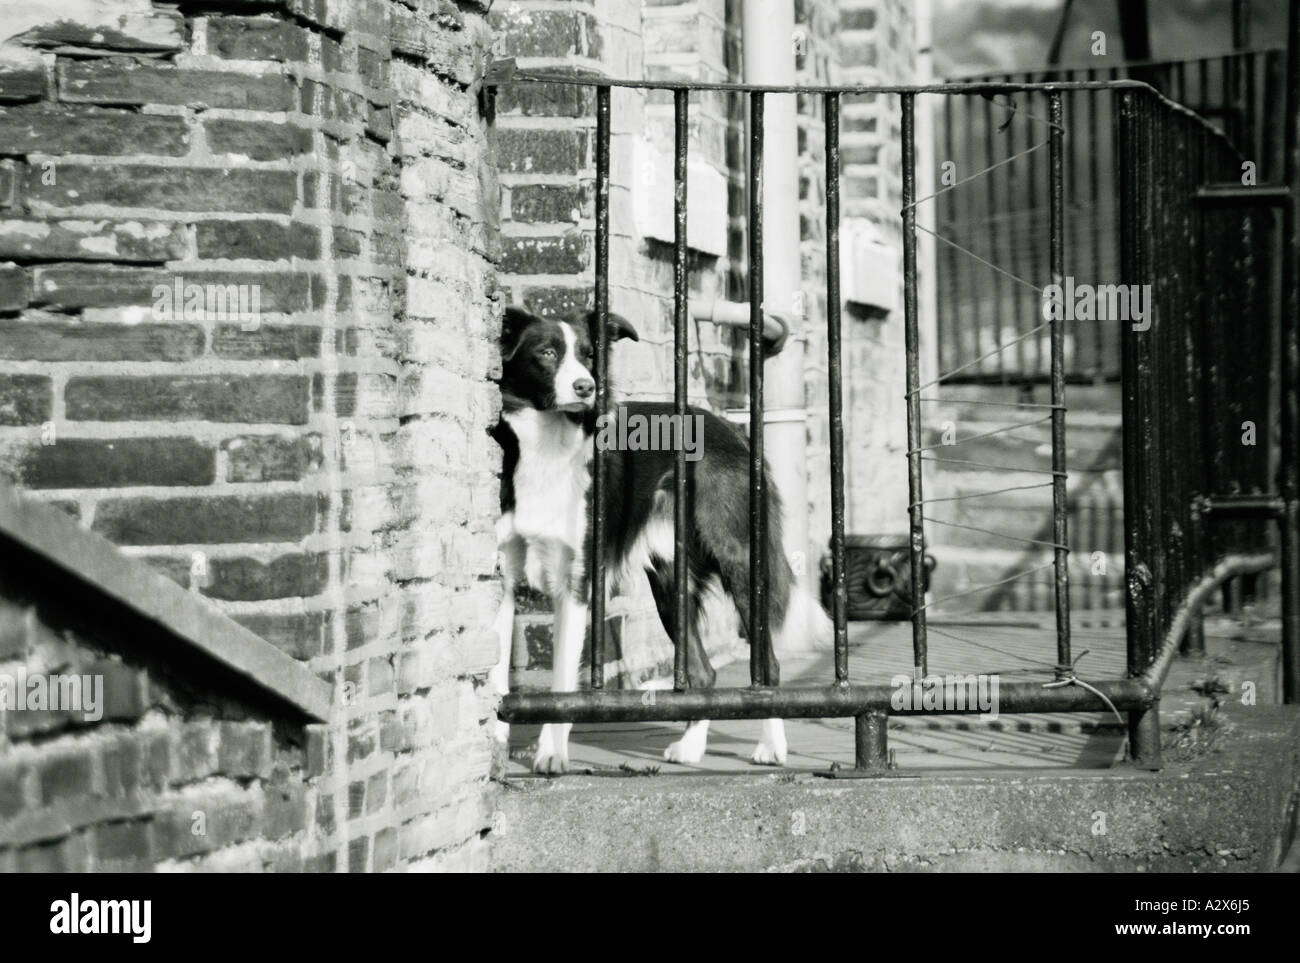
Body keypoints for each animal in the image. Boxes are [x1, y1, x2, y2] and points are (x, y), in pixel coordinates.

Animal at [488, 308, 832, 774]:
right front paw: (491, 747)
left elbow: (561, 680)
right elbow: (493, 672)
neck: (547, 445)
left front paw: (551, 753)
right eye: (547, 353)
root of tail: (732, 428)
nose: (586, 387)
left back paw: (770, 747)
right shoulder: (503, 578)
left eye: (590, 354)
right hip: (671, 582)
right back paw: (691, 747)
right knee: (703, 671)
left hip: (740, 560)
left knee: (769, 667)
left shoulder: (576, 584)